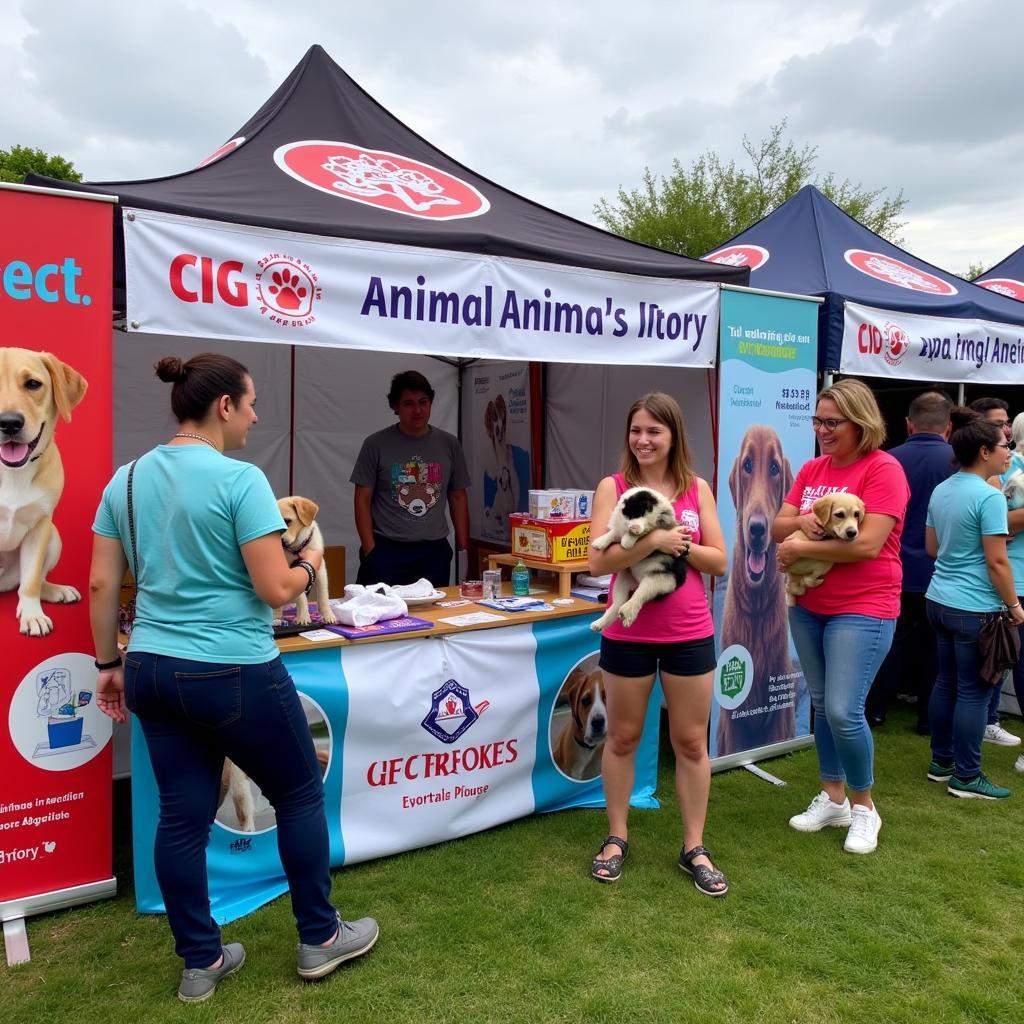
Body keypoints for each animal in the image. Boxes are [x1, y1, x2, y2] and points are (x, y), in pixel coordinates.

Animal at [0, 348, 88, 630]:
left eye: (33, 384)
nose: (9, 423)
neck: (10, 472)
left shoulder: (40, 525)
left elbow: (30, 581)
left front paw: (32, 615)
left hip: (54, 537)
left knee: (28, 582)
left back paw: (54, 590)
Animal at [272, 493, 335, 626]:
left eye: (287, 521)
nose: (281, 543)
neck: (298, 548)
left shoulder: (320, 569)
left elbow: (323, 596)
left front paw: (328, 615)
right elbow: (301, 598)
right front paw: (303, 616)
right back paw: (276, 617)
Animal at [589, 487, 692, 630]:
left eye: (642, 513)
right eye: (630, 515)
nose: (634, 527)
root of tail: (638, 581)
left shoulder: (661, 524)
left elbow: (644, 532)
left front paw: (627, 541)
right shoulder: (621, 523)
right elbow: (615, 531)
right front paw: (600, 542)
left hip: (658, 579)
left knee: (638, 596)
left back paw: (627, 612)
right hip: (623, 579)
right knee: (618, 602)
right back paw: (600, 623)